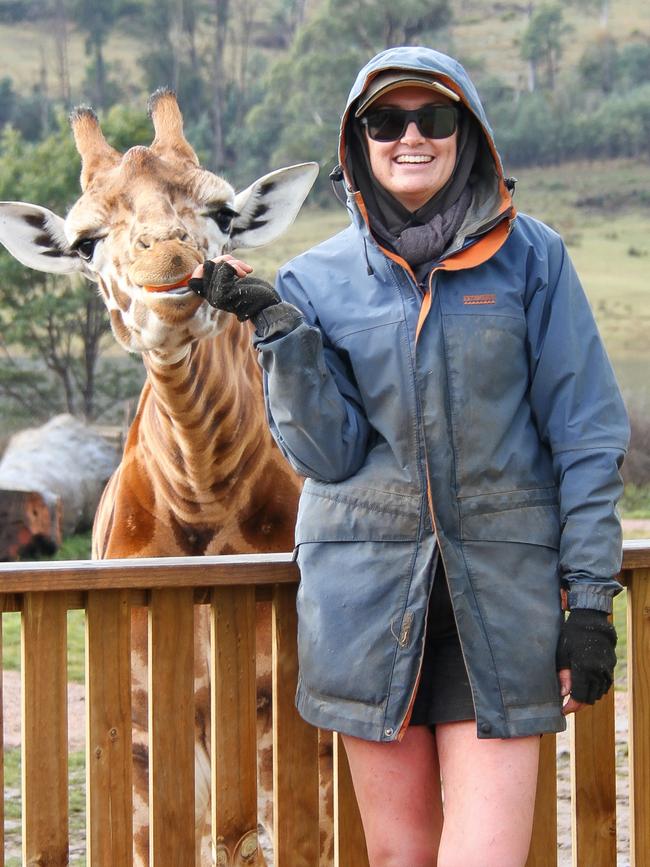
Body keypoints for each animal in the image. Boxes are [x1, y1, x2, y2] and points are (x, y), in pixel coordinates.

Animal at [0, 91, 318, 864]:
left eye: (224, 214)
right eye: (85, 241)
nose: (170, 258)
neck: (200, 490)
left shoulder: (283, 731)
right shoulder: (144, 738)